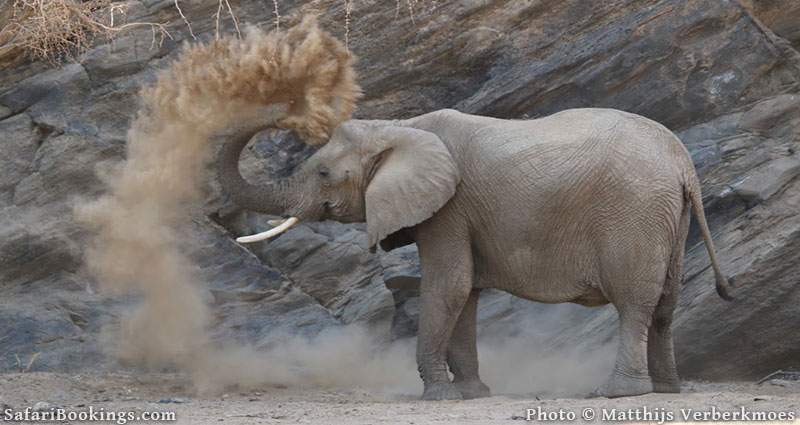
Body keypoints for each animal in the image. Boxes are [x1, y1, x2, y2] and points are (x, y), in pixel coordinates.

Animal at [216, 107, 728, 400]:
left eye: (322, 173)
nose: (279, 117)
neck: (400, 129)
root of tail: (683, 163)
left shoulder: (449, 208)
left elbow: (449, 285)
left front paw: (437, 397)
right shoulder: (460, 214)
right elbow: (466, 292)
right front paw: (472, 394)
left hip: (634, 213)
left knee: (634, 304)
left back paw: (616, 394)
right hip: (669, 217)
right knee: (665, 306)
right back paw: (667, 390)